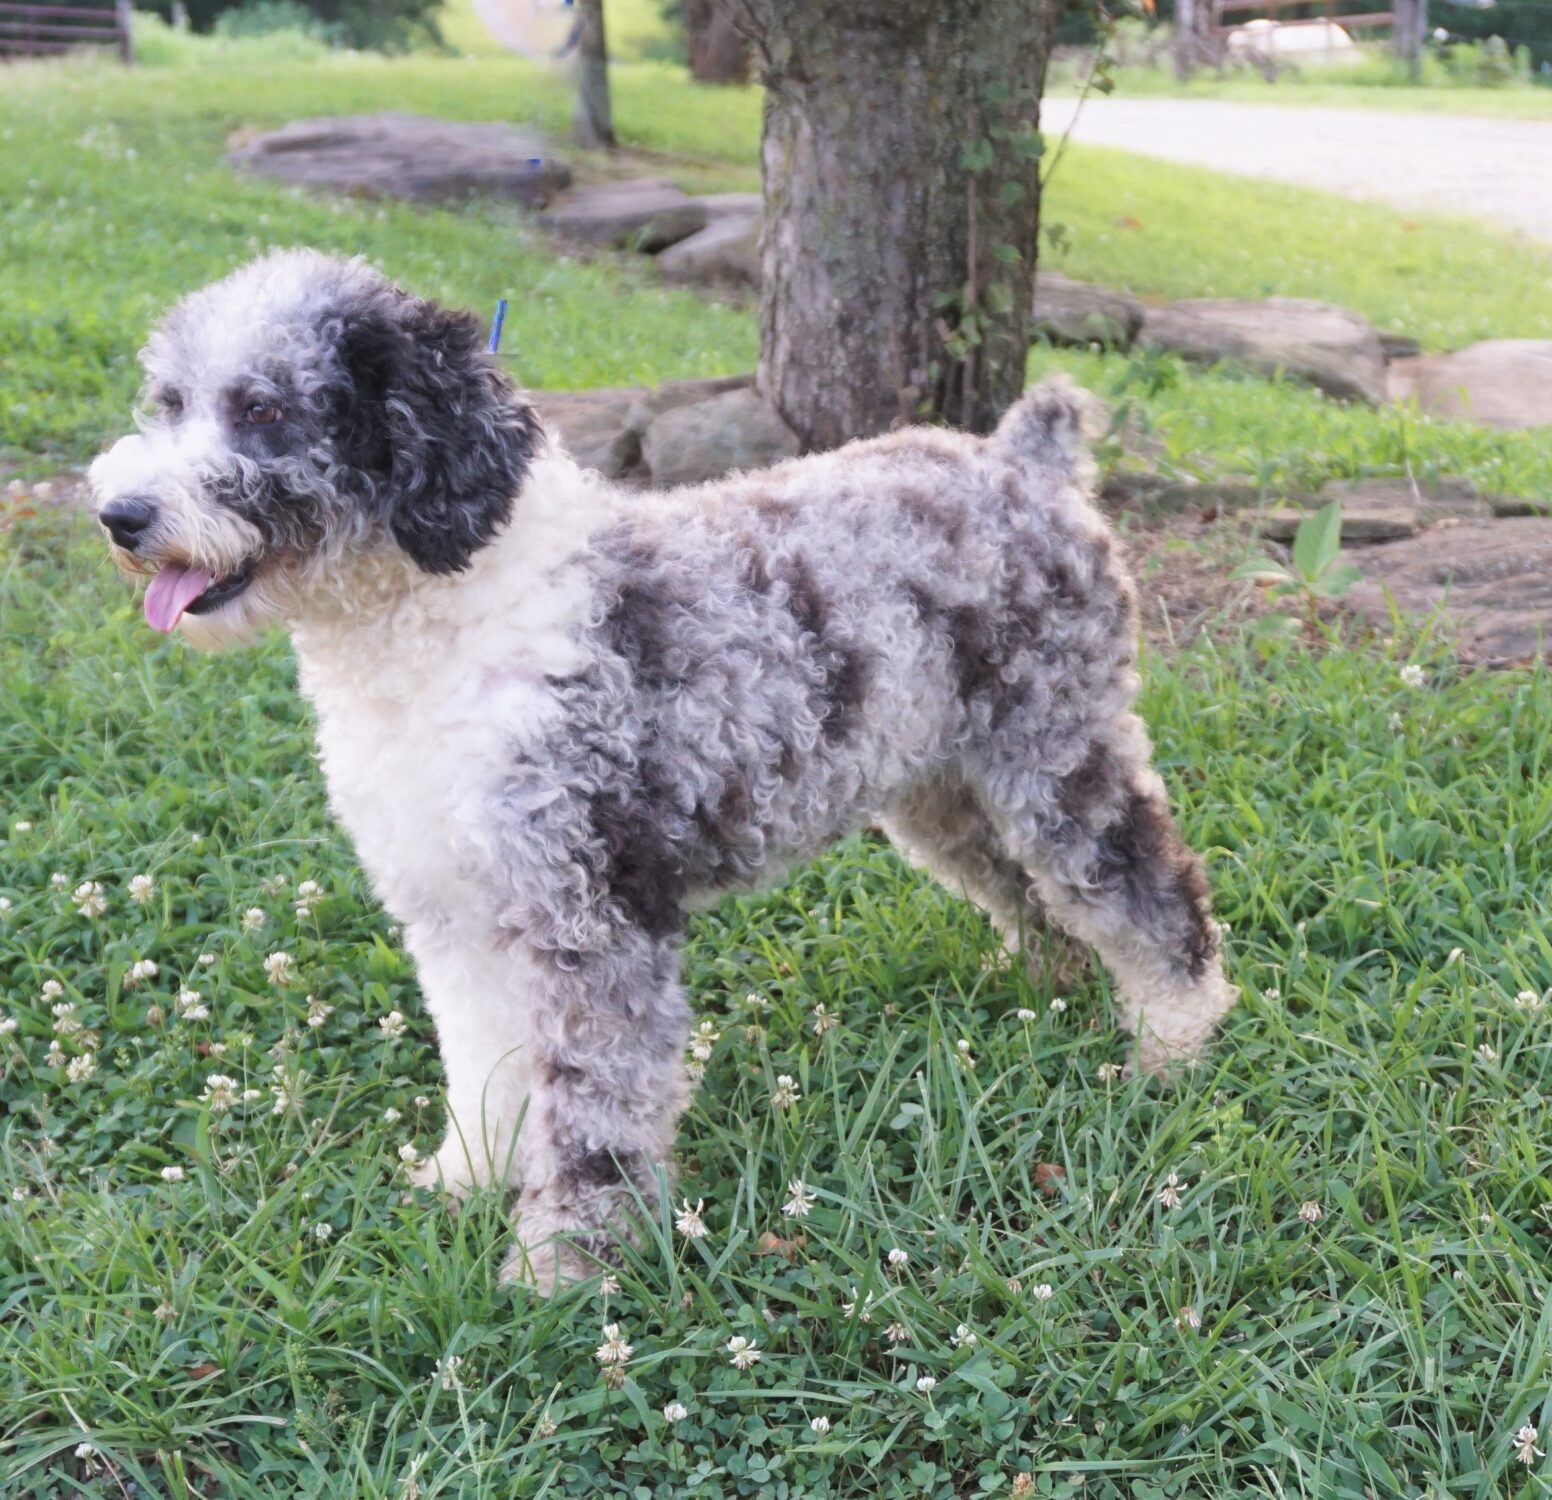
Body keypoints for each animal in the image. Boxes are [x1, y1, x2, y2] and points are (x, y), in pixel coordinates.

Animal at [93, 250, 1235, 1291]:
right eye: (171, 401)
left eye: (266, 411)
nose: (121, 516)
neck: (445, 623)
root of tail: (1021, 460)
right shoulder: (456, 910)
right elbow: (483, 1068)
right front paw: (464, 1182)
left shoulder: (593, 910)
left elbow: (593, 1107)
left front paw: (566, 1265)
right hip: (940, 788)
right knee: (1034, 896)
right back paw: (1059, 994)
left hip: (1055, 752)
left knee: (1142, 883)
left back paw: (1175, 1041)